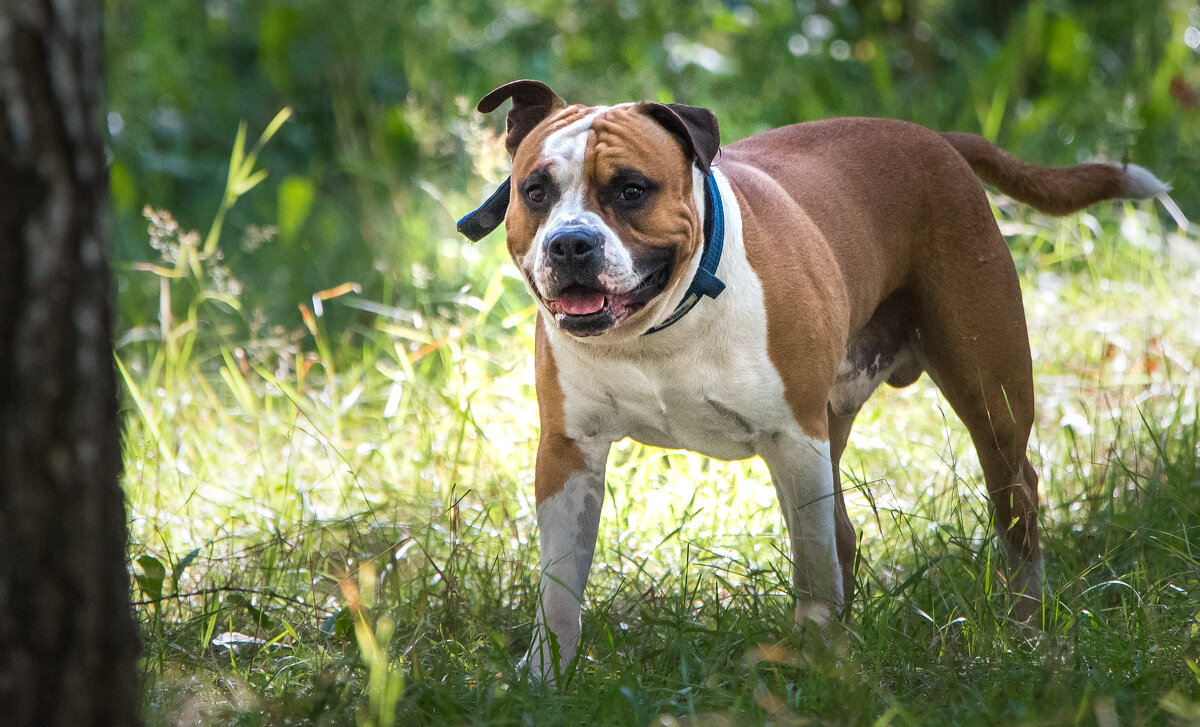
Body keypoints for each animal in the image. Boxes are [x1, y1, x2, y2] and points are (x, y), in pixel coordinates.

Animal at [456, 82, 1161, 686]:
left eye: (631, 189)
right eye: (535, 192)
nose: (570, 244)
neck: (661, 329)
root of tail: (935, 138)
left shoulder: (794, 440)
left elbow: (814, 567)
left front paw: (819, 658)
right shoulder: (569, 454)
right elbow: (559, 583)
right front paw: (547, 674)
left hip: (990, 399)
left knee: (1014, 500)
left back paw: (1025, 630)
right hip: (835, 426)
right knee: (844, 530)